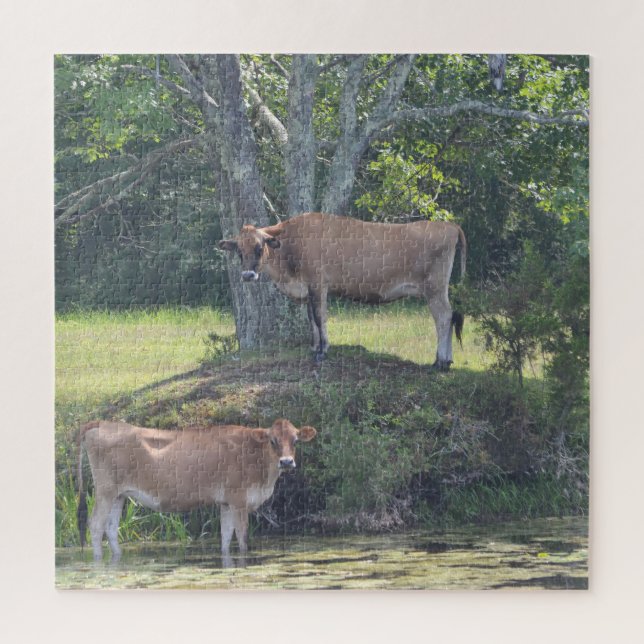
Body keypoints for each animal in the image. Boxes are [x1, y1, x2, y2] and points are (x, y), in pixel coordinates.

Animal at [77, 418, 317, 564]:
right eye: (273, 441)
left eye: (295, 440)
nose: (286, 462)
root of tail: (101, 423)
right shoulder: (239, 500)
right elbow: (242, 539)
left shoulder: (225, 503)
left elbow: (226, 537)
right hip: (105, 491)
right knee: (95, 526)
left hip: (119, 495)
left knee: (110, 528)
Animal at [219, 212, 466, 369]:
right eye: (239, 250)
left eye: (259, 247)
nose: (247, 275)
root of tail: (449, 226)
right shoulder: (308, 289)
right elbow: (311, 319)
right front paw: (314, 347)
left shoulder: (318, 284)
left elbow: (320, 317)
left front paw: (322, 351)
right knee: (449, 317)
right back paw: (446, 360)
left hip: (434, 288)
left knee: (444, 317)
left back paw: (440, 362)